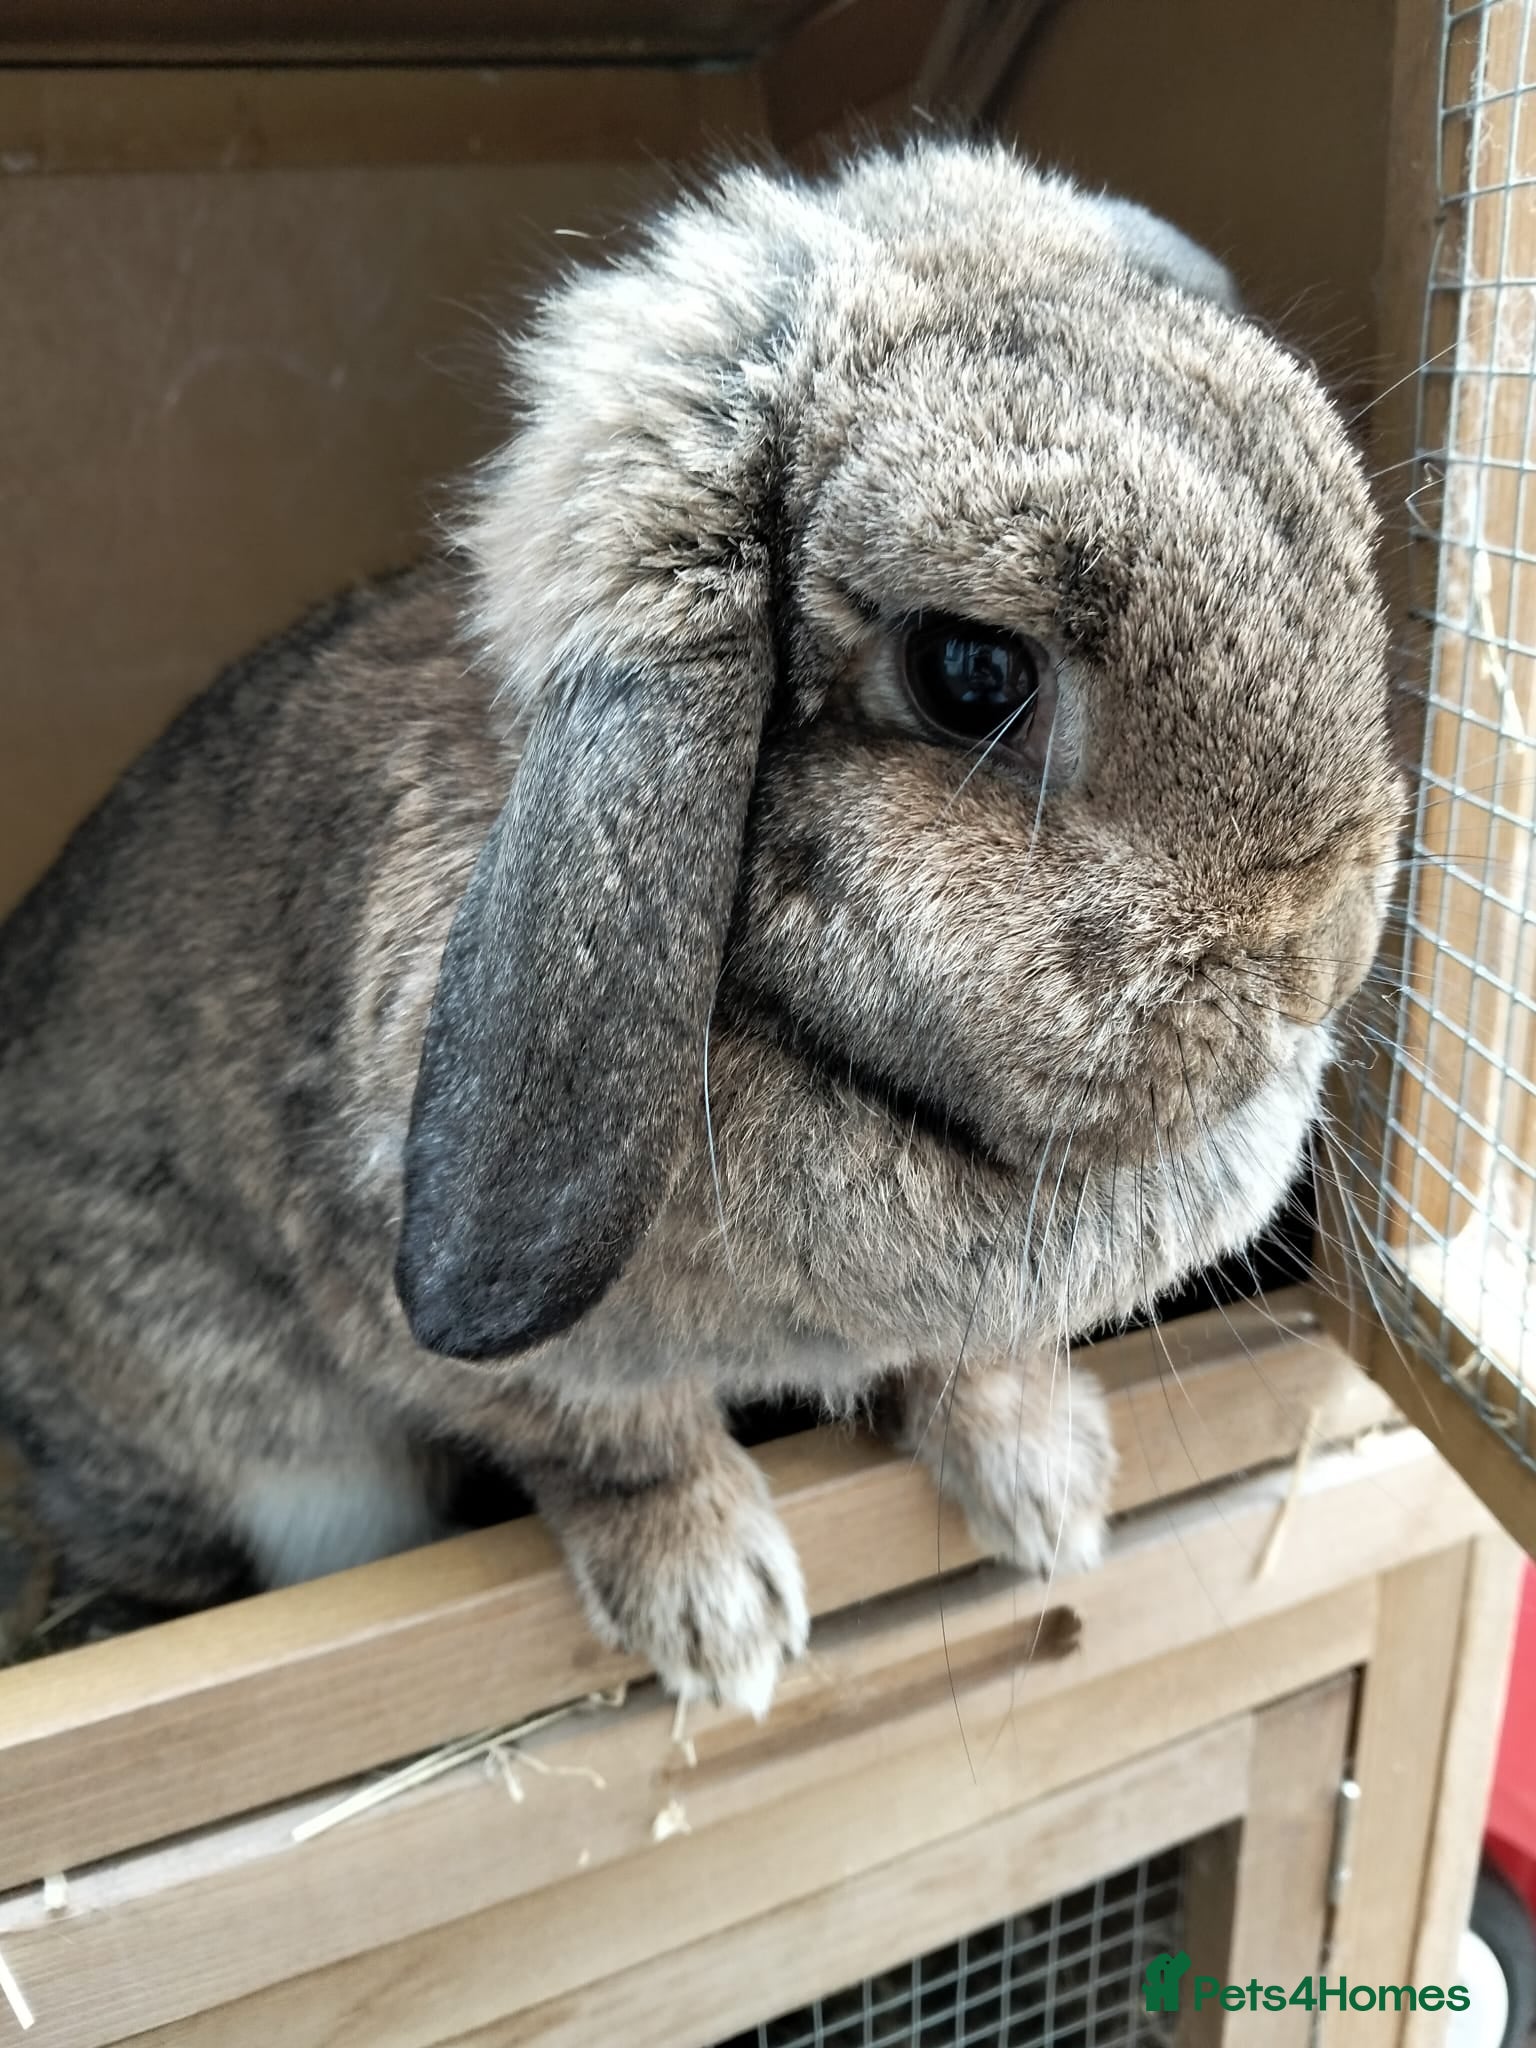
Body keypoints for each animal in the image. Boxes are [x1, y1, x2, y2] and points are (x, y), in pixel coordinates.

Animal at [0, 139, 1399, 1713]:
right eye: (971, 673)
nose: (1320, 962)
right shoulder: (473, 1334)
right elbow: (624, 1446)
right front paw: (721, 1619)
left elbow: (969, 1367)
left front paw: (1051, 1495)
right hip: (289, 1473)